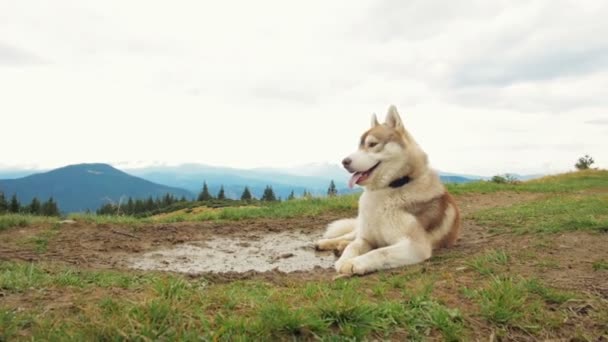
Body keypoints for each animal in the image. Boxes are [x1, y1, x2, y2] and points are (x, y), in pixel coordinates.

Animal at [316, 105, 458, 276]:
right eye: (359, 145)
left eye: (372, 144)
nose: (344, 162)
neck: (389, 188)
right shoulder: (366, 238)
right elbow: (354, 245)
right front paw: (344, 259)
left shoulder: (414, 246)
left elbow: (379, 252)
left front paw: (354, 263)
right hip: (361, 227)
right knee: (350, 235)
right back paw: (328, 243)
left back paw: (339, 246)